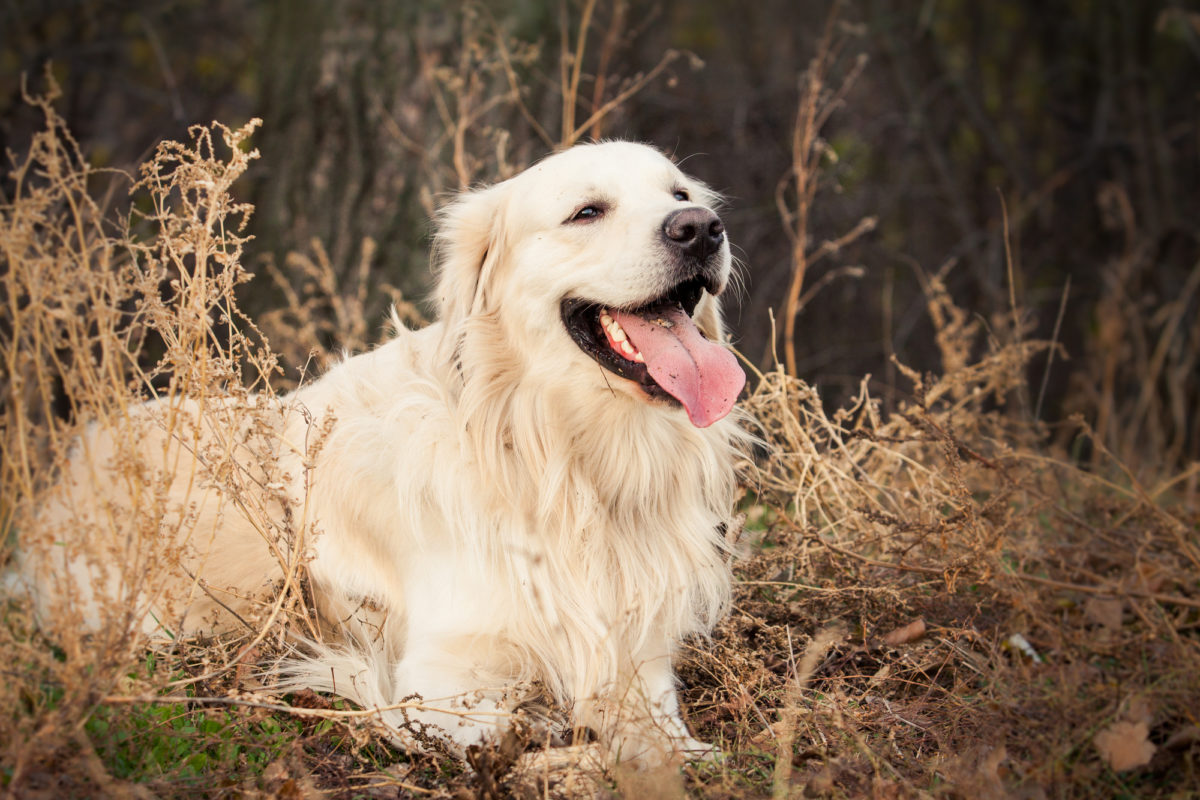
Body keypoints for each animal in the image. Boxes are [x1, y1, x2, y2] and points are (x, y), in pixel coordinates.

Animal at [16, 140, 748, 767]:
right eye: (587, 212)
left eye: (679, 193)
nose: (701, 228)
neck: (558, 455)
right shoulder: (443, 681)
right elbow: (526, 731)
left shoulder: (639, 658)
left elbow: (662, 736)